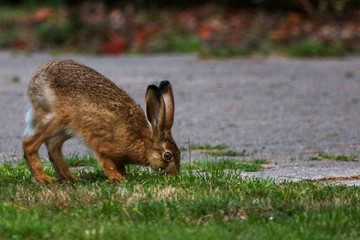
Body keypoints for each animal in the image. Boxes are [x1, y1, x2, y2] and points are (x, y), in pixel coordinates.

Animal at [22, 60, 180, 184]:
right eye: (167, 156)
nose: (175, 175)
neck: (142, 143)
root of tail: (35, 80)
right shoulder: (102, 144)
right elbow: (107, 162)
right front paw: (117, 179)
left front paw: (122, 174)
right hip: (55, 120)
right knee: (29, 145)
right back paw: (43, 178)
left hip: (66, 129)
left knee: (53, 147)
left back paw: (70, 178)